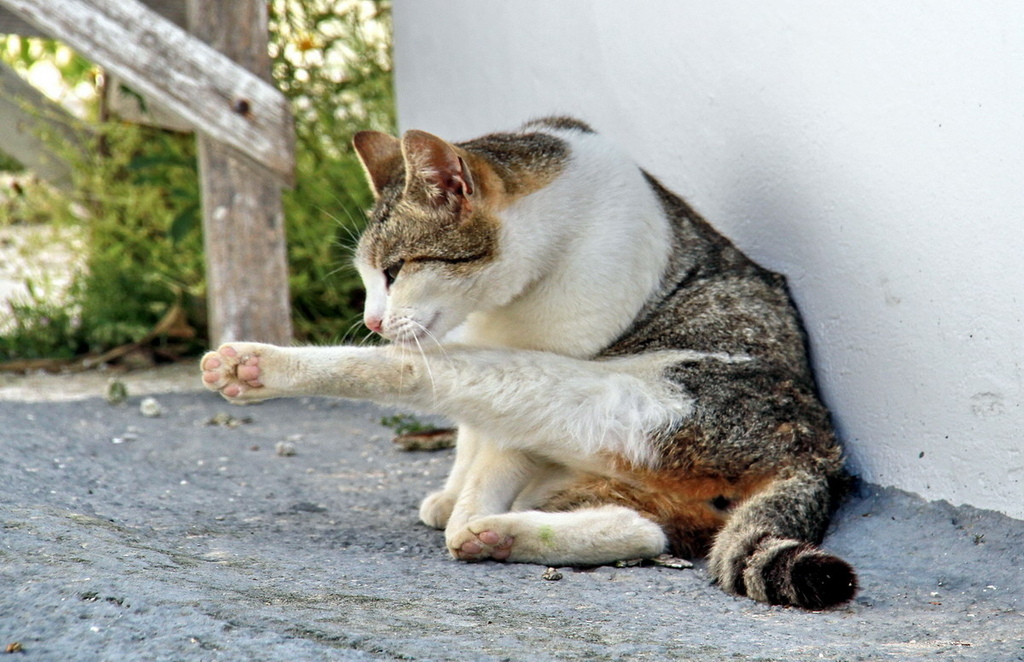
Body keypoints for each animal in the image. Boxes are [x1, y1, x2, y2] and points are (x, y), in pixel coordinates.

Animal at [199, 115, 856, 610]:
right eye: (365, 277)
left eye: (396, 269)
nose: (373, 322)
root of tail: (822, 452)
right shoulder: (473, 334)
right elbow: (470, 439)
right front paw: (453, 494)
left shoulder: (546, 351)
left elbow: (483, 439)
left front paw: (464, 500)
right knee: (644, 529)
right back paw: (499, 534)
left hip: (600, 392)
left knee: (421, 377)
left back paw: (254, 366)